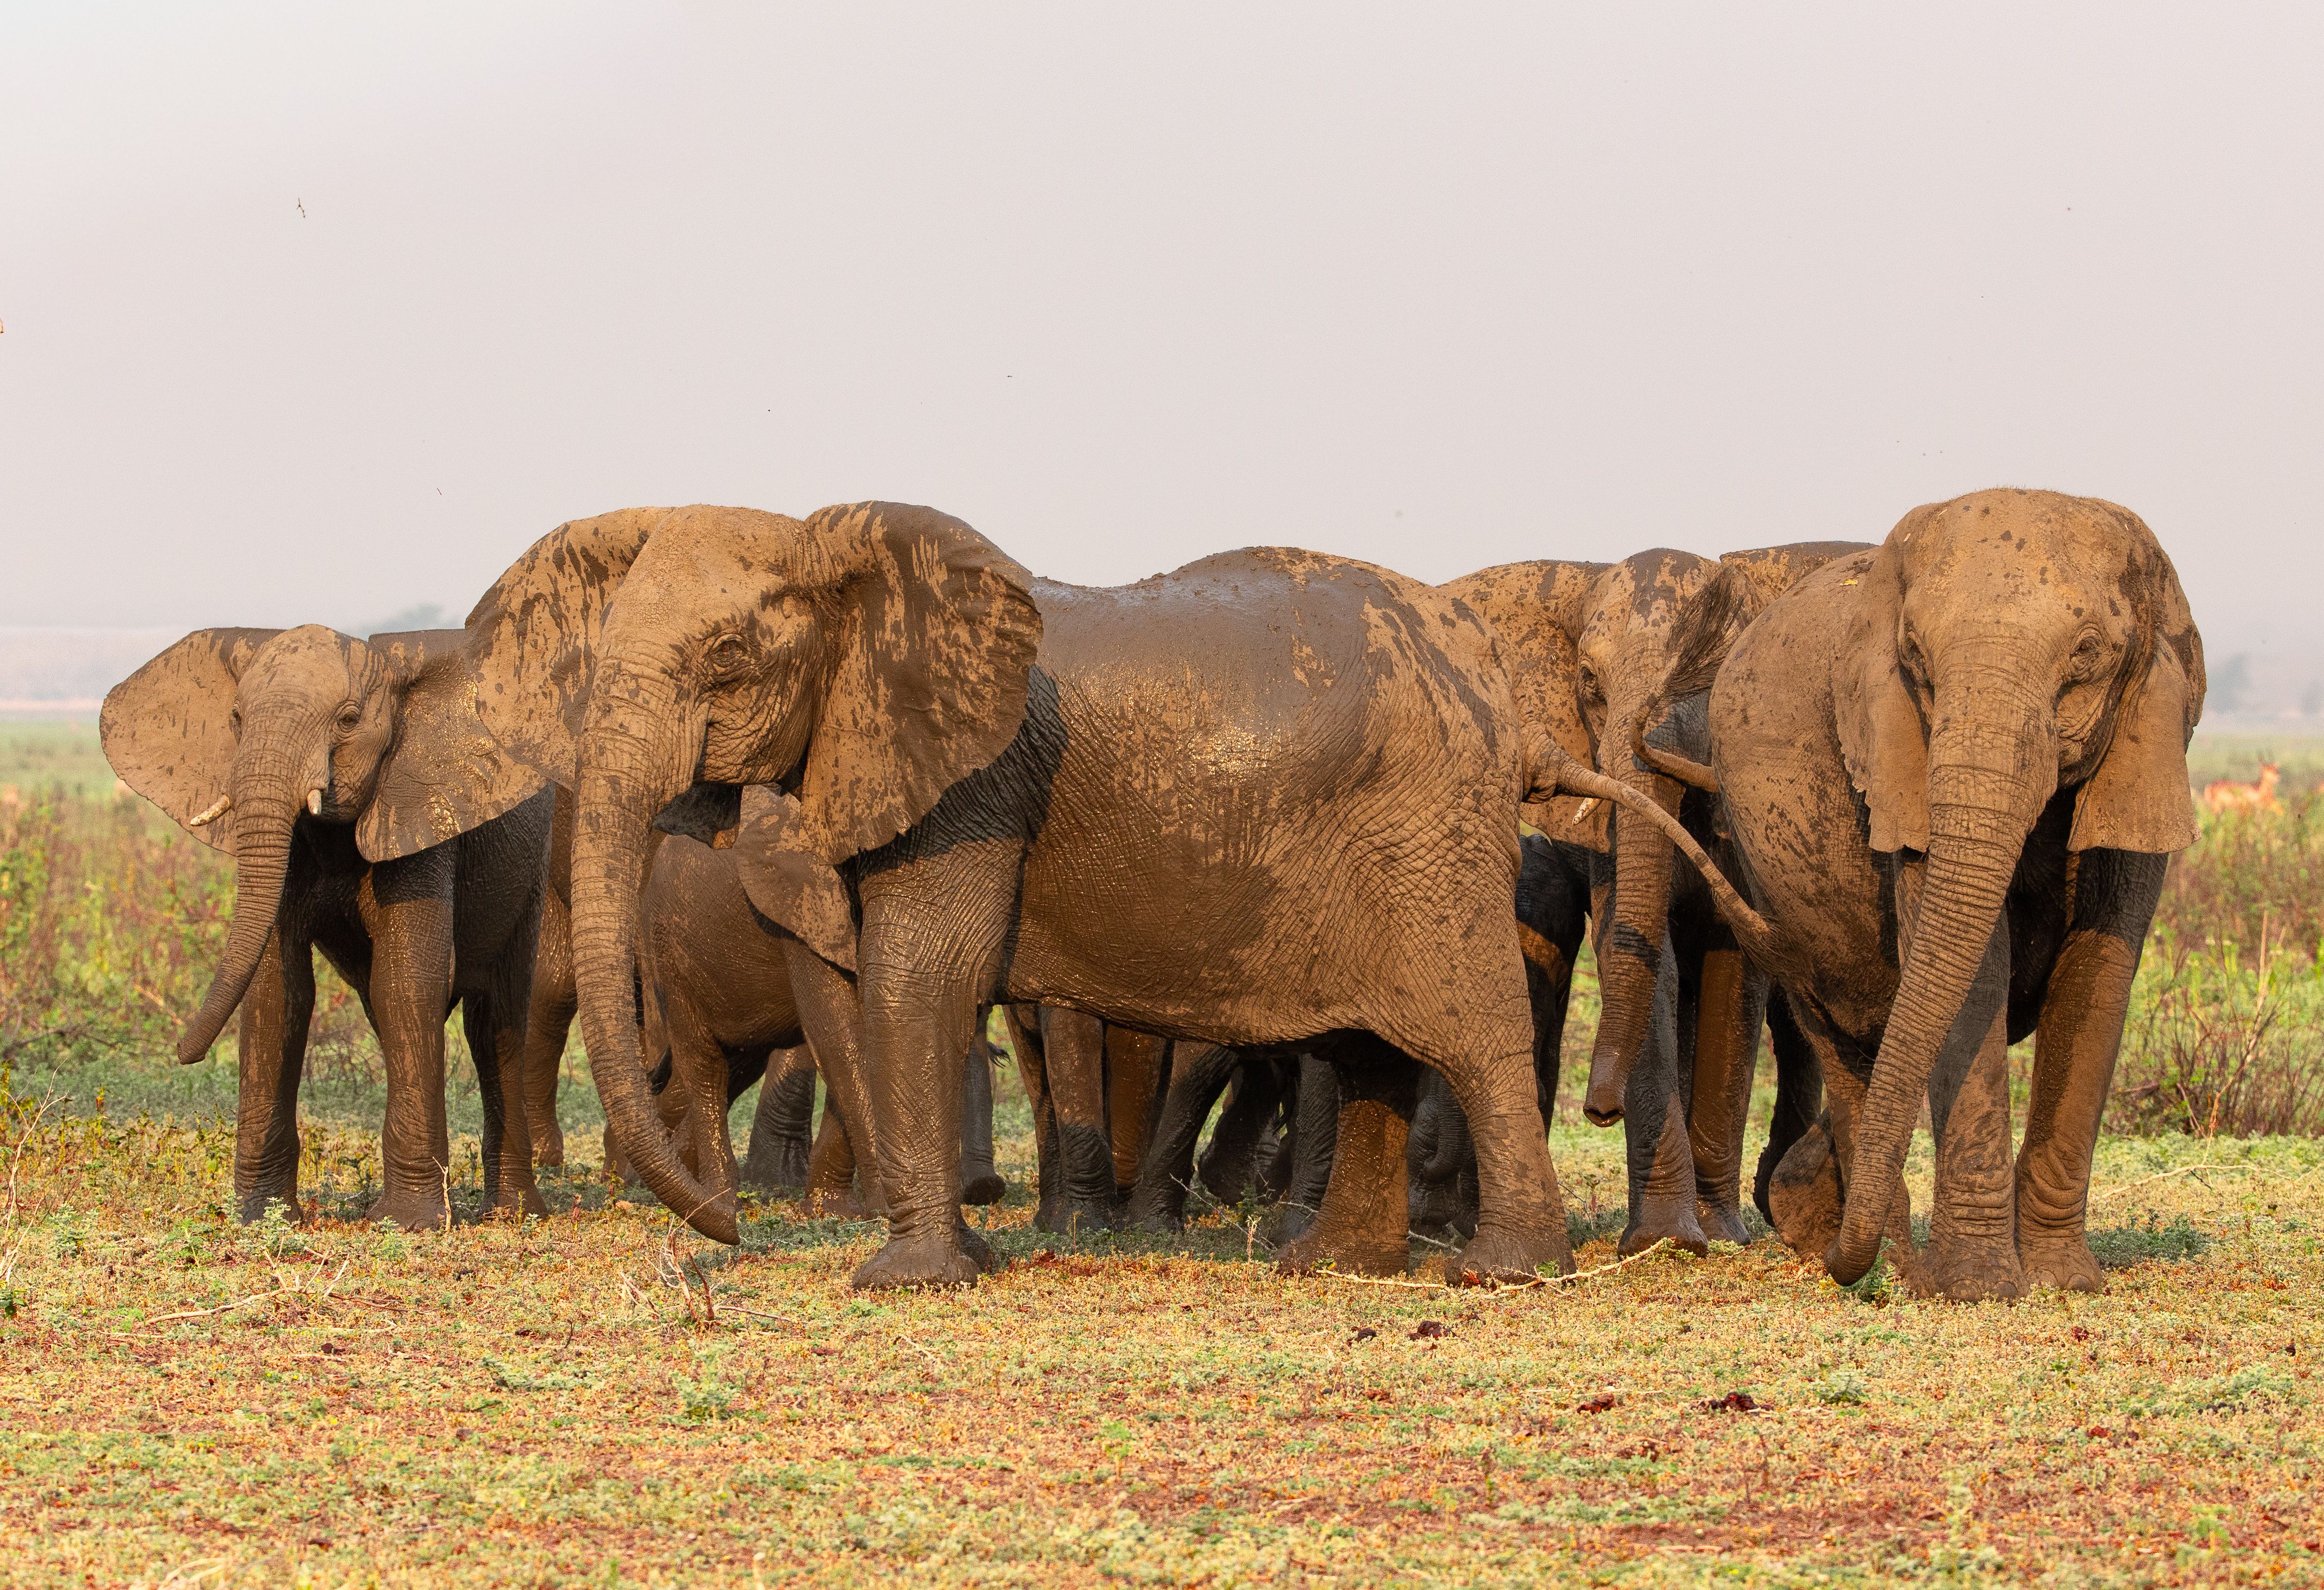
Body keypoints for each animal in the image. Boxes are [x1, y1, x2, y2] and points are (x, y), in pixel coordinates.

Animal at [101, 626, 553, 1227]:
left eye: (348, 719)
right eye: (237, 717)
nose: (180, 1050)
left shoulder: (416, 817)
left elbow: (406, 984)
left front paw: (407, 1224)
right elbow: (279, 993)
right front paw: (263, 1216)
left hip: (531, 876)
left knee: (494, 1023)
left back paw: (513, 1214)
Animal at [464, 503, 1572, 1288]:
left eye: (727, 660)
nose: (728, 1231)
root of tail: (1488, 675)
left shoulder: (975, 787)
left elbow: (916, 979)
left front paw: (905, 1280)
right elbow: (878, 989)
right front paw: (954, 1262)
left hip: (1429, 838)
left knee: (1467, 1031)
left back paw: (1503, 1273)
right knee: (1367, 1051)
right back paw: (1334, 1264)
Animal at [1555, 489, 2203, 1299]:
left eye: (2088, 654)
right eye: (1916, 659)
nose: (1596, 1112)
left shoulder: (2142, 752)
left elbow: (2099, 973)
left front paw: (2063, 1284)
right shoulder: (1898, 764)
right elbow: (1971, 973)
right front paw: (1976, 1290)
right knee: (1845, 1035)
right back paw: (1879, 1260)